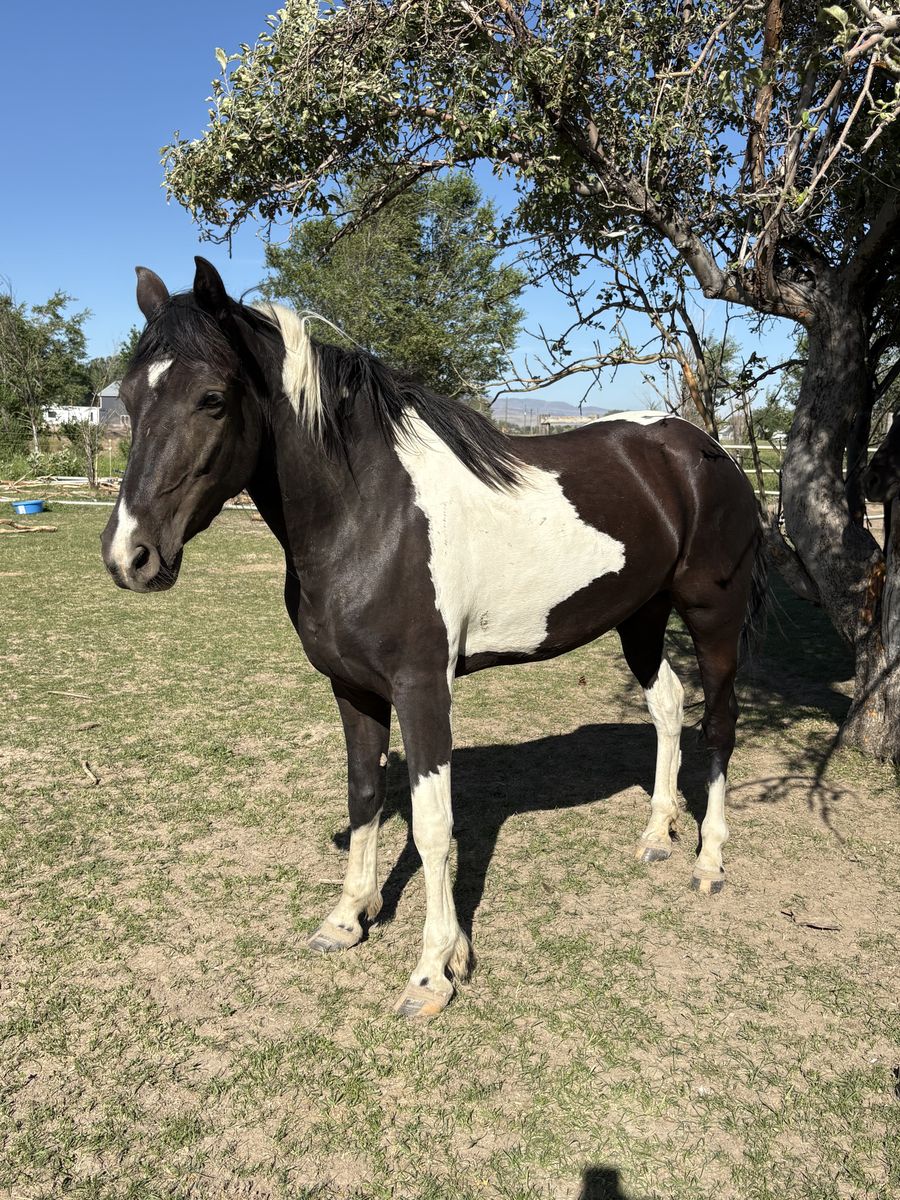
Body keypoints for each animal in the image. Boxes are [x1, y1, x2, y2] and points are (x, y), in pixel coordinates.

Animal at [101, 258, 766, 1019]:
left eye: (211, 398)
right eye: (128, 397)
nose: (129, 556)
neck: (370, 513)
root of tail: (704, 449)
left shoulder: (422, 690)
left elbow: (430, 825)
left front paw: (433, 971)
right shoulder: (351, 687)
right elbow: (365, 794)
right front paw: (347, 919)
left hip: (713, 616)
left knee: (718, 722)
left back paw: (709, 861)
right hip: (642, 616)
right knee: (665, 706)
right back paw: (657, 835)